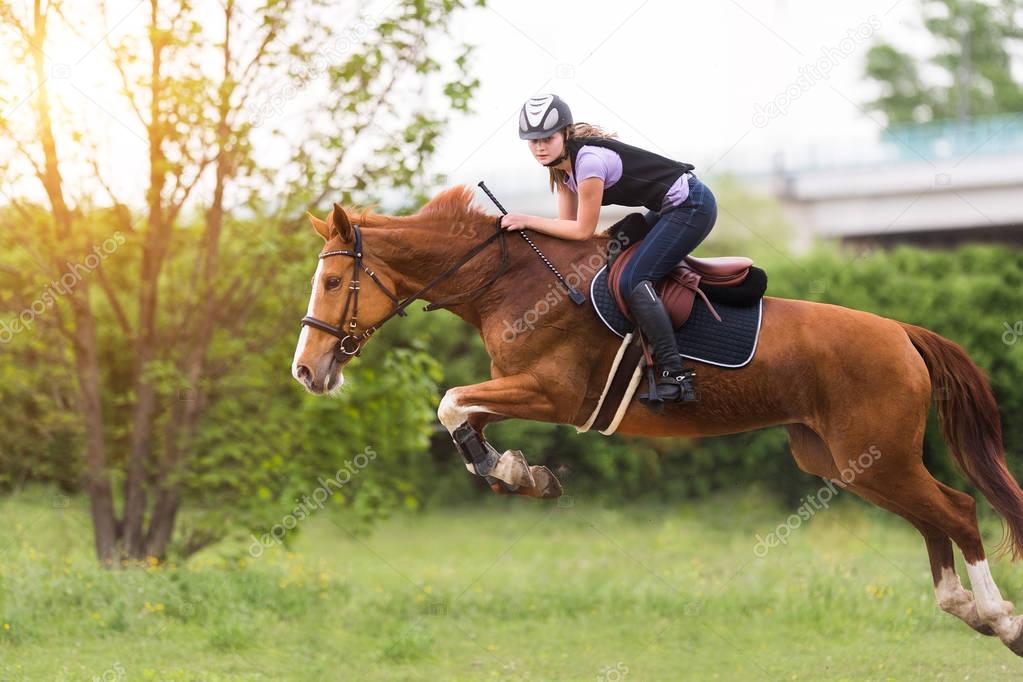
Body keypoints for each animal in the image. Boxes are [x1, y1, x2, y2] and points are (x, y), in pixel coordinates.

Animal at [290, 183, 1023, 654]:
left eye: (332, 283)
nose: (306, 371)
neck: (507, 281)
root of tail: (901, 332)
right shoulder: (516, 388)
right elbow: (461, 413)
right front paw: (519, 473)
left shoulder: (553, 394)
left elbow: (450, 401)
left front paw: (515, 472)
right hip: (848, 462)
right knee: (933, 516)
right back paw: (965, 608)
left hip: (877, 455)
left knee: (957, 510)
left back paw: (998, 618)